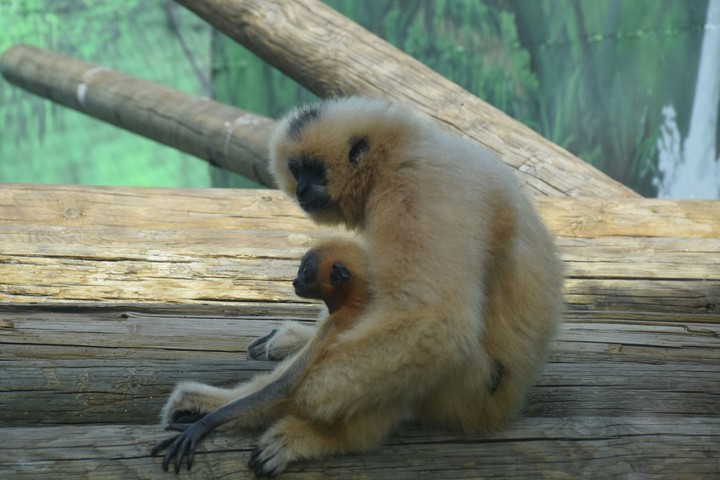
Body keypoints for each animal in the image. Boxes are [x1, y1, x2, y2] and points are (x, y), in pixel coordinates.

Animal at [152, 238, 372, 474]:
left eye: (304, 271)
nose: (295, 281)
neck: (351, 304)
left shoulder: (334, 324)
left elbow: (282, 387)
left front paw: (201, 425)